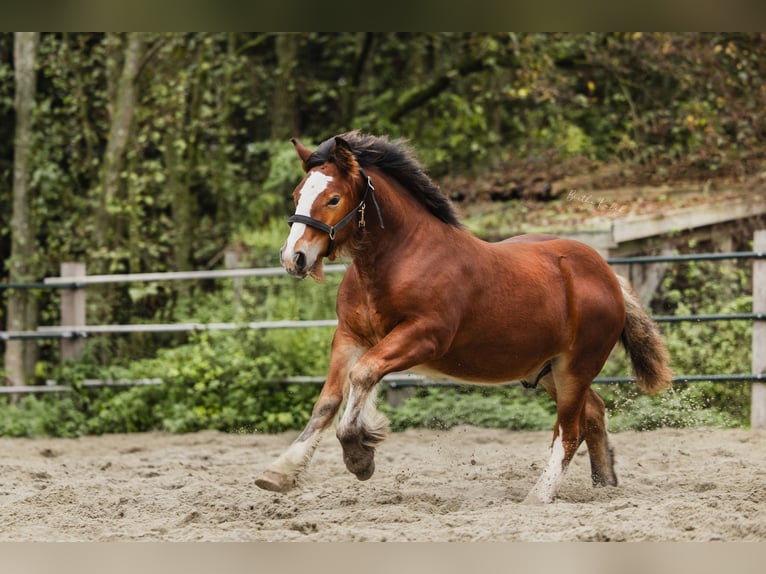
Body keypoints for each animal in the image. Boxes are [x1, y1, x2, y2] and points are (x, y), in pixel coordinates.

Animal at [254, 130, 672, 504]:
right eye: (297, 195)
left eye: (334, 198)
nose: (294, 258)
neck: (399, 259)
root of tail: (607, 275)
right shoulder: (350, 337)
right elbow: (328, 401)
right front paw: (280, 473)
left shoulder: (423, 337)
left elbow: (364, 375)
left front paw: (360, 454)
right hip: (550, 370)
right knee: (594, 414)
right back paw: (604, 487)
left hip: (575, 368)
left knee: (569, 431)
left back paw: (538, 497)